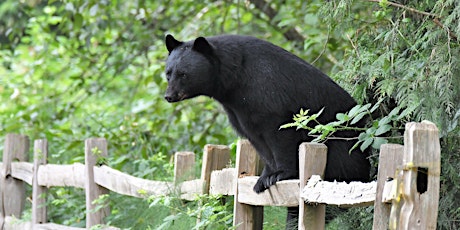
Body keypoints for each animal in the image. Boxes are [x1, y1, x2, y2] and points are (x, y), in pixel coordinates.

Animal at [164, 34, 370, 225]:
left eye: (183, 74)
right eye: (168, 73)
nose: (169, 96)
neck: (234, 81)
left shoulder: (267, 93)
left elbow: (279, 132)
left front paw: (279, 174)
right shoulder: (238, 110)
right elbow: (257, 140)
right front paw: (263, 179)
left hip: (341, 150)